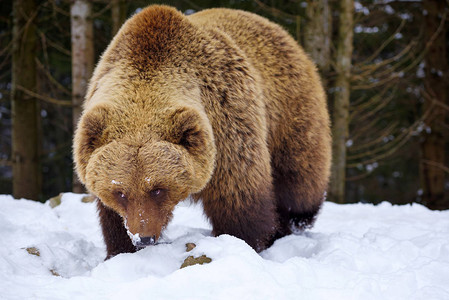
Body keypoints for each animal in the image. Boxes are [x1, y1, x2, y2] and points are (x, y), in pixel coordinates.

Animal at [73, 4, 330, 258]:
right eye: (120, 192)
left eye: (158, 189)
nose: (143, 238)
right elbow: (111, 217)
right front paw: (120, 249)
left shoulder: (228, 125)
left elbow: (238, 198)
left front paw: (241, 242)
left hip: (289, 112)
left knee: (298, 182)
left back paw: (290, 224)